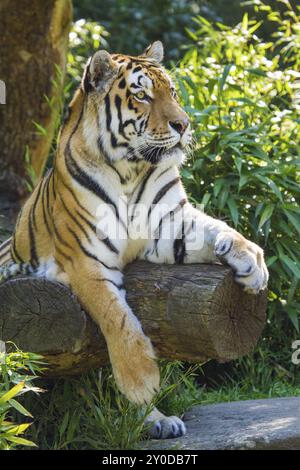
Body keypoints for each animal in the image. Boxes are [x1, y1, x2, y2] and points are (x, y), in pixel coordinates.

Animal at [0, 41, 268, 440]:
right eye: (142, 96)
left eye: (172, 92)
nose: (184, 124)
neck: (130, 169)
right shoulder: (86, 260)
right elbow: (119, 318)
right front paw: (141, 382)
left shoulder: (171, 225)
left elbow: (218, 228)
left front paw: (253, 263)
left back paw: (158, 422)